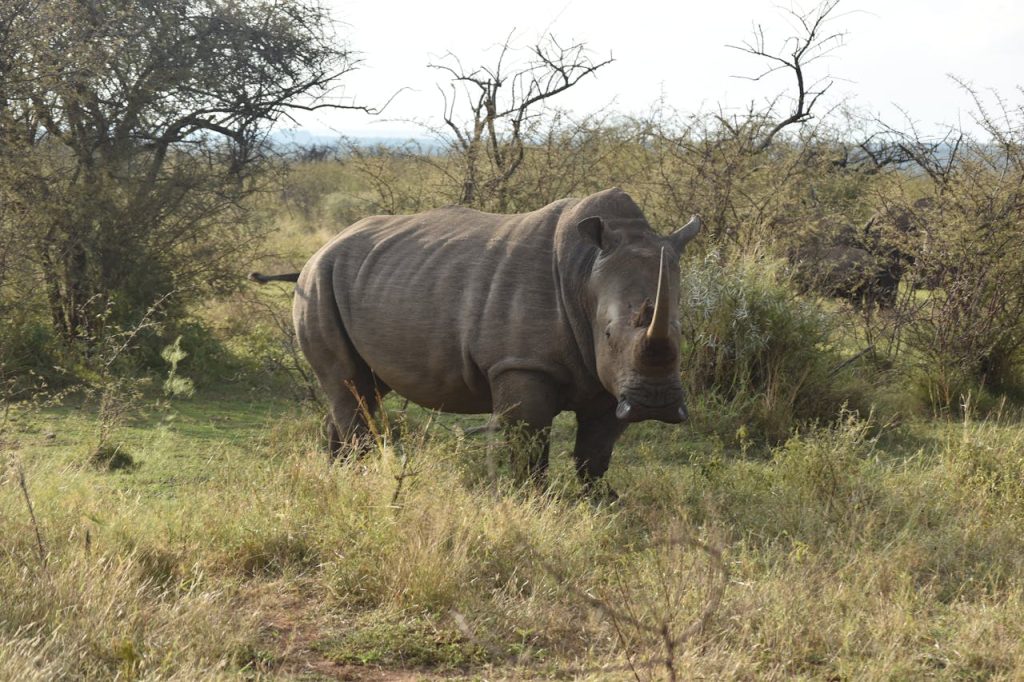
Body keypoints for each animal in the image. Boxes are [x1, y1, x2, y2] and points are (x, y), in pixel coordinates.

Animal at [253, 188, 701, 490]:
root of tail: (317, 251)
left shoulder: (610, 378)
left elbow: (596, 452)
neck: (585, 271)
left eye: (681, 330)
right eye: (607, 333)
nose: (654, 404)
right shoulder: (521, 364)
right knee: (349, 386)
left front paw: (602, 502)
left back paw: (337, 476)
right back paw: (358, 480)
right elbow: (528, 445)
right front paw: (532, 502)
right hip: (319, 280)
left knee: (361, 389)